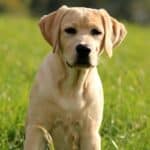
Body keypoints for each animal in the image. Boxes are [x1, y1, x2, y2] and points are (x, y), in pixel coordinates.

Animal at [23, 5, 126, 149]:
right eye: (70, 30)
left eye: (96, 32)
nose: (84, 49)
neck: (73, 84)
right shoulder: (37, 127)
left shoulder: (90, 133)